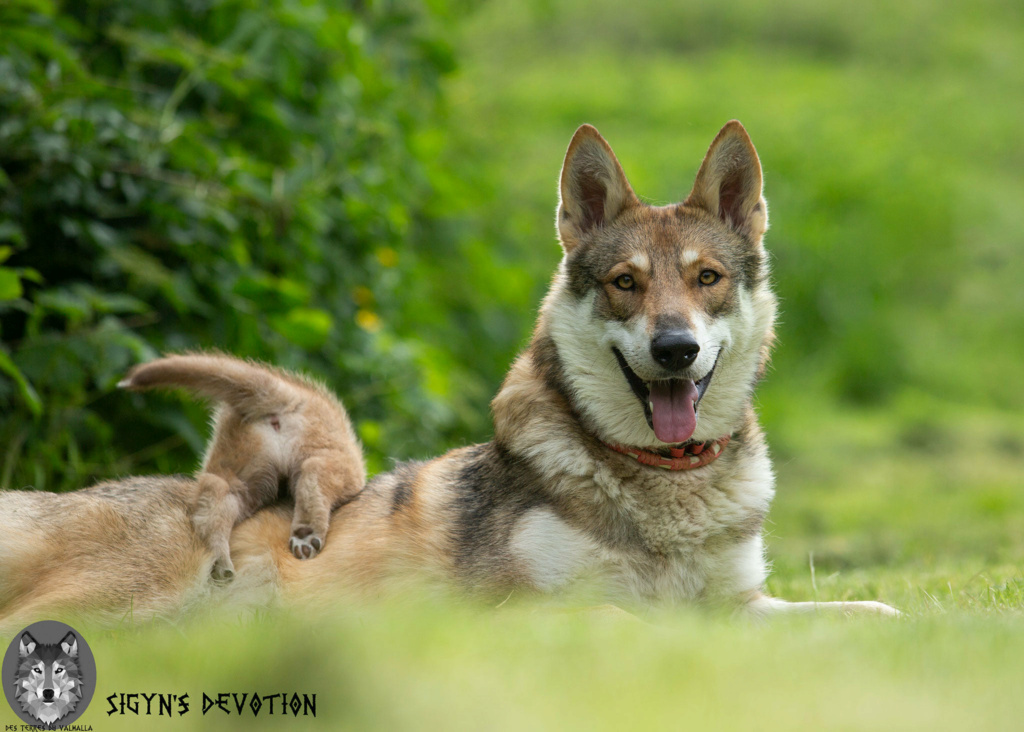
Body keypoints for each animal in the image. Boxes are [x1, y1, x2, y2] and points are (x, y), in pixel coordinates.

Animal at [119, 352, 364, 581]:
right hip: (333, 463)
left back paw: (221, 564)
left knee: (213, 508)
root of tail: (290, 397)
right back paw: (306, 537)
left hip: (240, 474)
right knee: (314, 482)